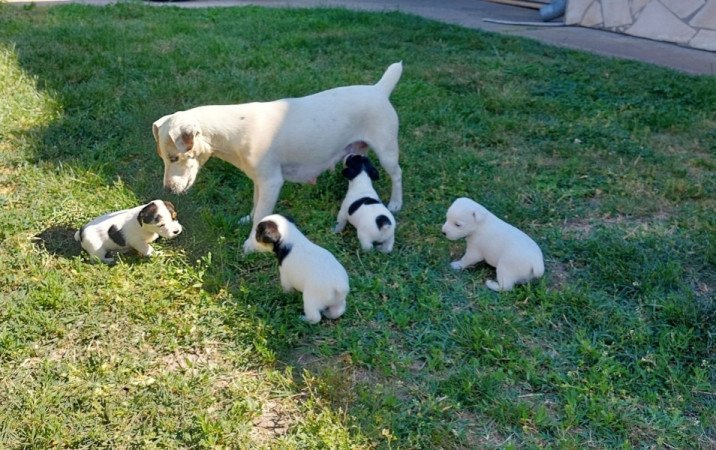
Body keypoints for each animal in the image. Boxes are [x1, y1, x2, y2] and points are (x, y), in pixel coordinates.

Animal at [152, 61, 402, 255]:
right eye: (164, 158)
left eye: (174, 158)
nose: (167, 191)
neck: (232, 131)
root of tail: (379, 89)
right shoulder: (258, 180)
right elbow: (255, 205)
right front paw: (247, 219)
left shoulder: (271, 182)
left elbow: (261, 214)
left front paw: (251, 245)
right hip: (357, 151)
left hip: (387, 151)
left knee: (396, 174)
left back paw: (396, 203)